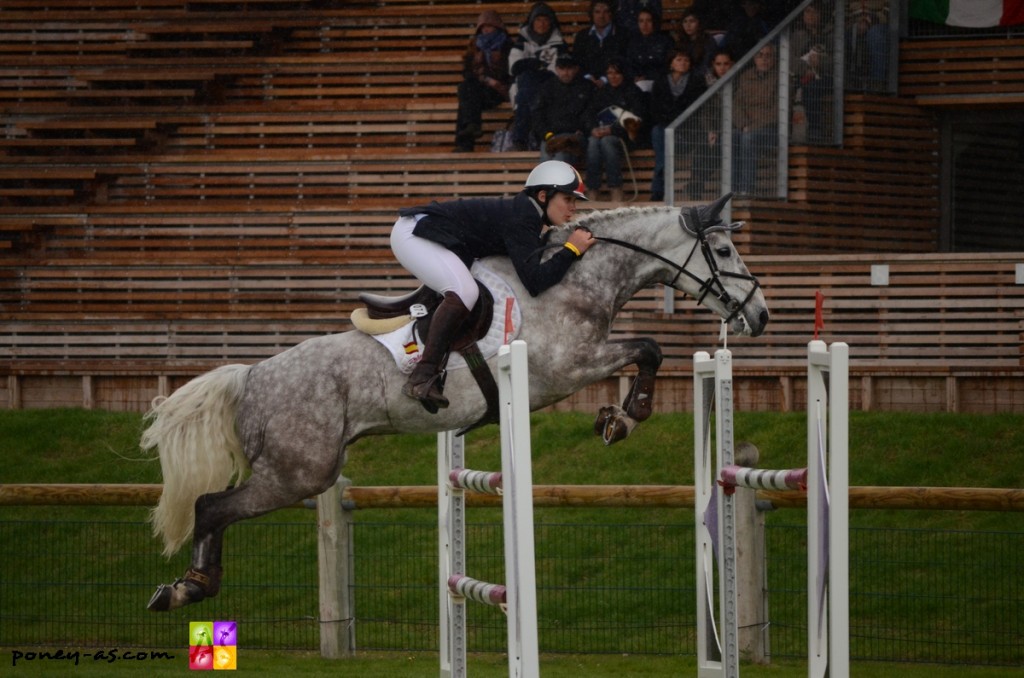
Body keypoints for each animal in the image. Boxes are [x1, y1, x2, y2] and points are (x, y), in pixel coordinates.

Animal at [144, 195, 770, 610]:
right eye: (722, 249)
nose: (761, 316)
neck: (570, 278)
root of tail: (250, 376)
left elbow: (647, 350)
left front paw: (616, 418)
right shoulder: (569, 367)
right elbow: (649, 348)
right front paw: (625, 418)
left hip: (292, 470)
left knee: (212, 506)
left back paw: (188, 587)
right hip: (301, 472)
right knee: (210, 506)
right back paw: (188, 589)